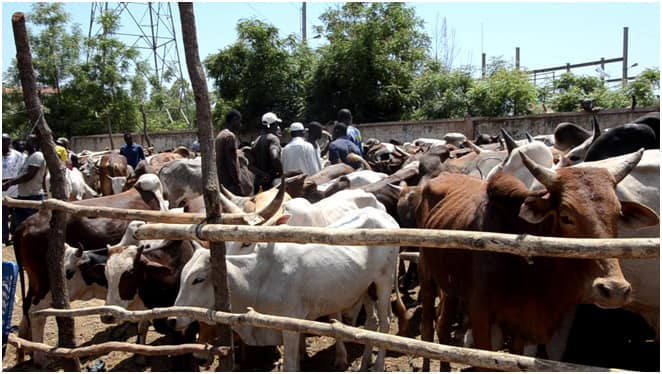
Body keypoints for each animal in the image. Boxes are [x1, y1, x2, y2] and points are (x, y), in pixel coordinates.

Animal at [416, 150, 660, 372]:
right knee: (428, 326)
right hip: (427, 275)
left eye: (617, 214)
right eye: (566, 216)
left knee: (443, 327)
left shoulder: (521, 323)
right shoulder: (481, 316)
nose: (614, 290)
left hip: (450, 286)